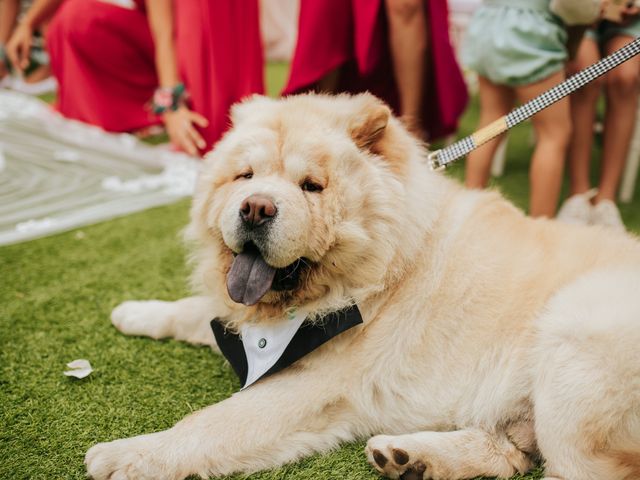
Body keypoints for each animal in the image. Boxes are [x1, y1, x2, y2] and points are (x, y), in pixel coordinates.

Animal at [87, 94, 640, 480]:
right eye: (245, 176)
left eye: (312, 186)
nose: (255, 208)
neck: (385, 267)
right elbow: (192, 310)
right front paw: (133, 311)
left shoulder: (313, 386)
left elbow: (211, 422)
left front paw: (124, 455)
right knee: (511, 454)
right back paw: (408, 456)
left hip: (571, 336)